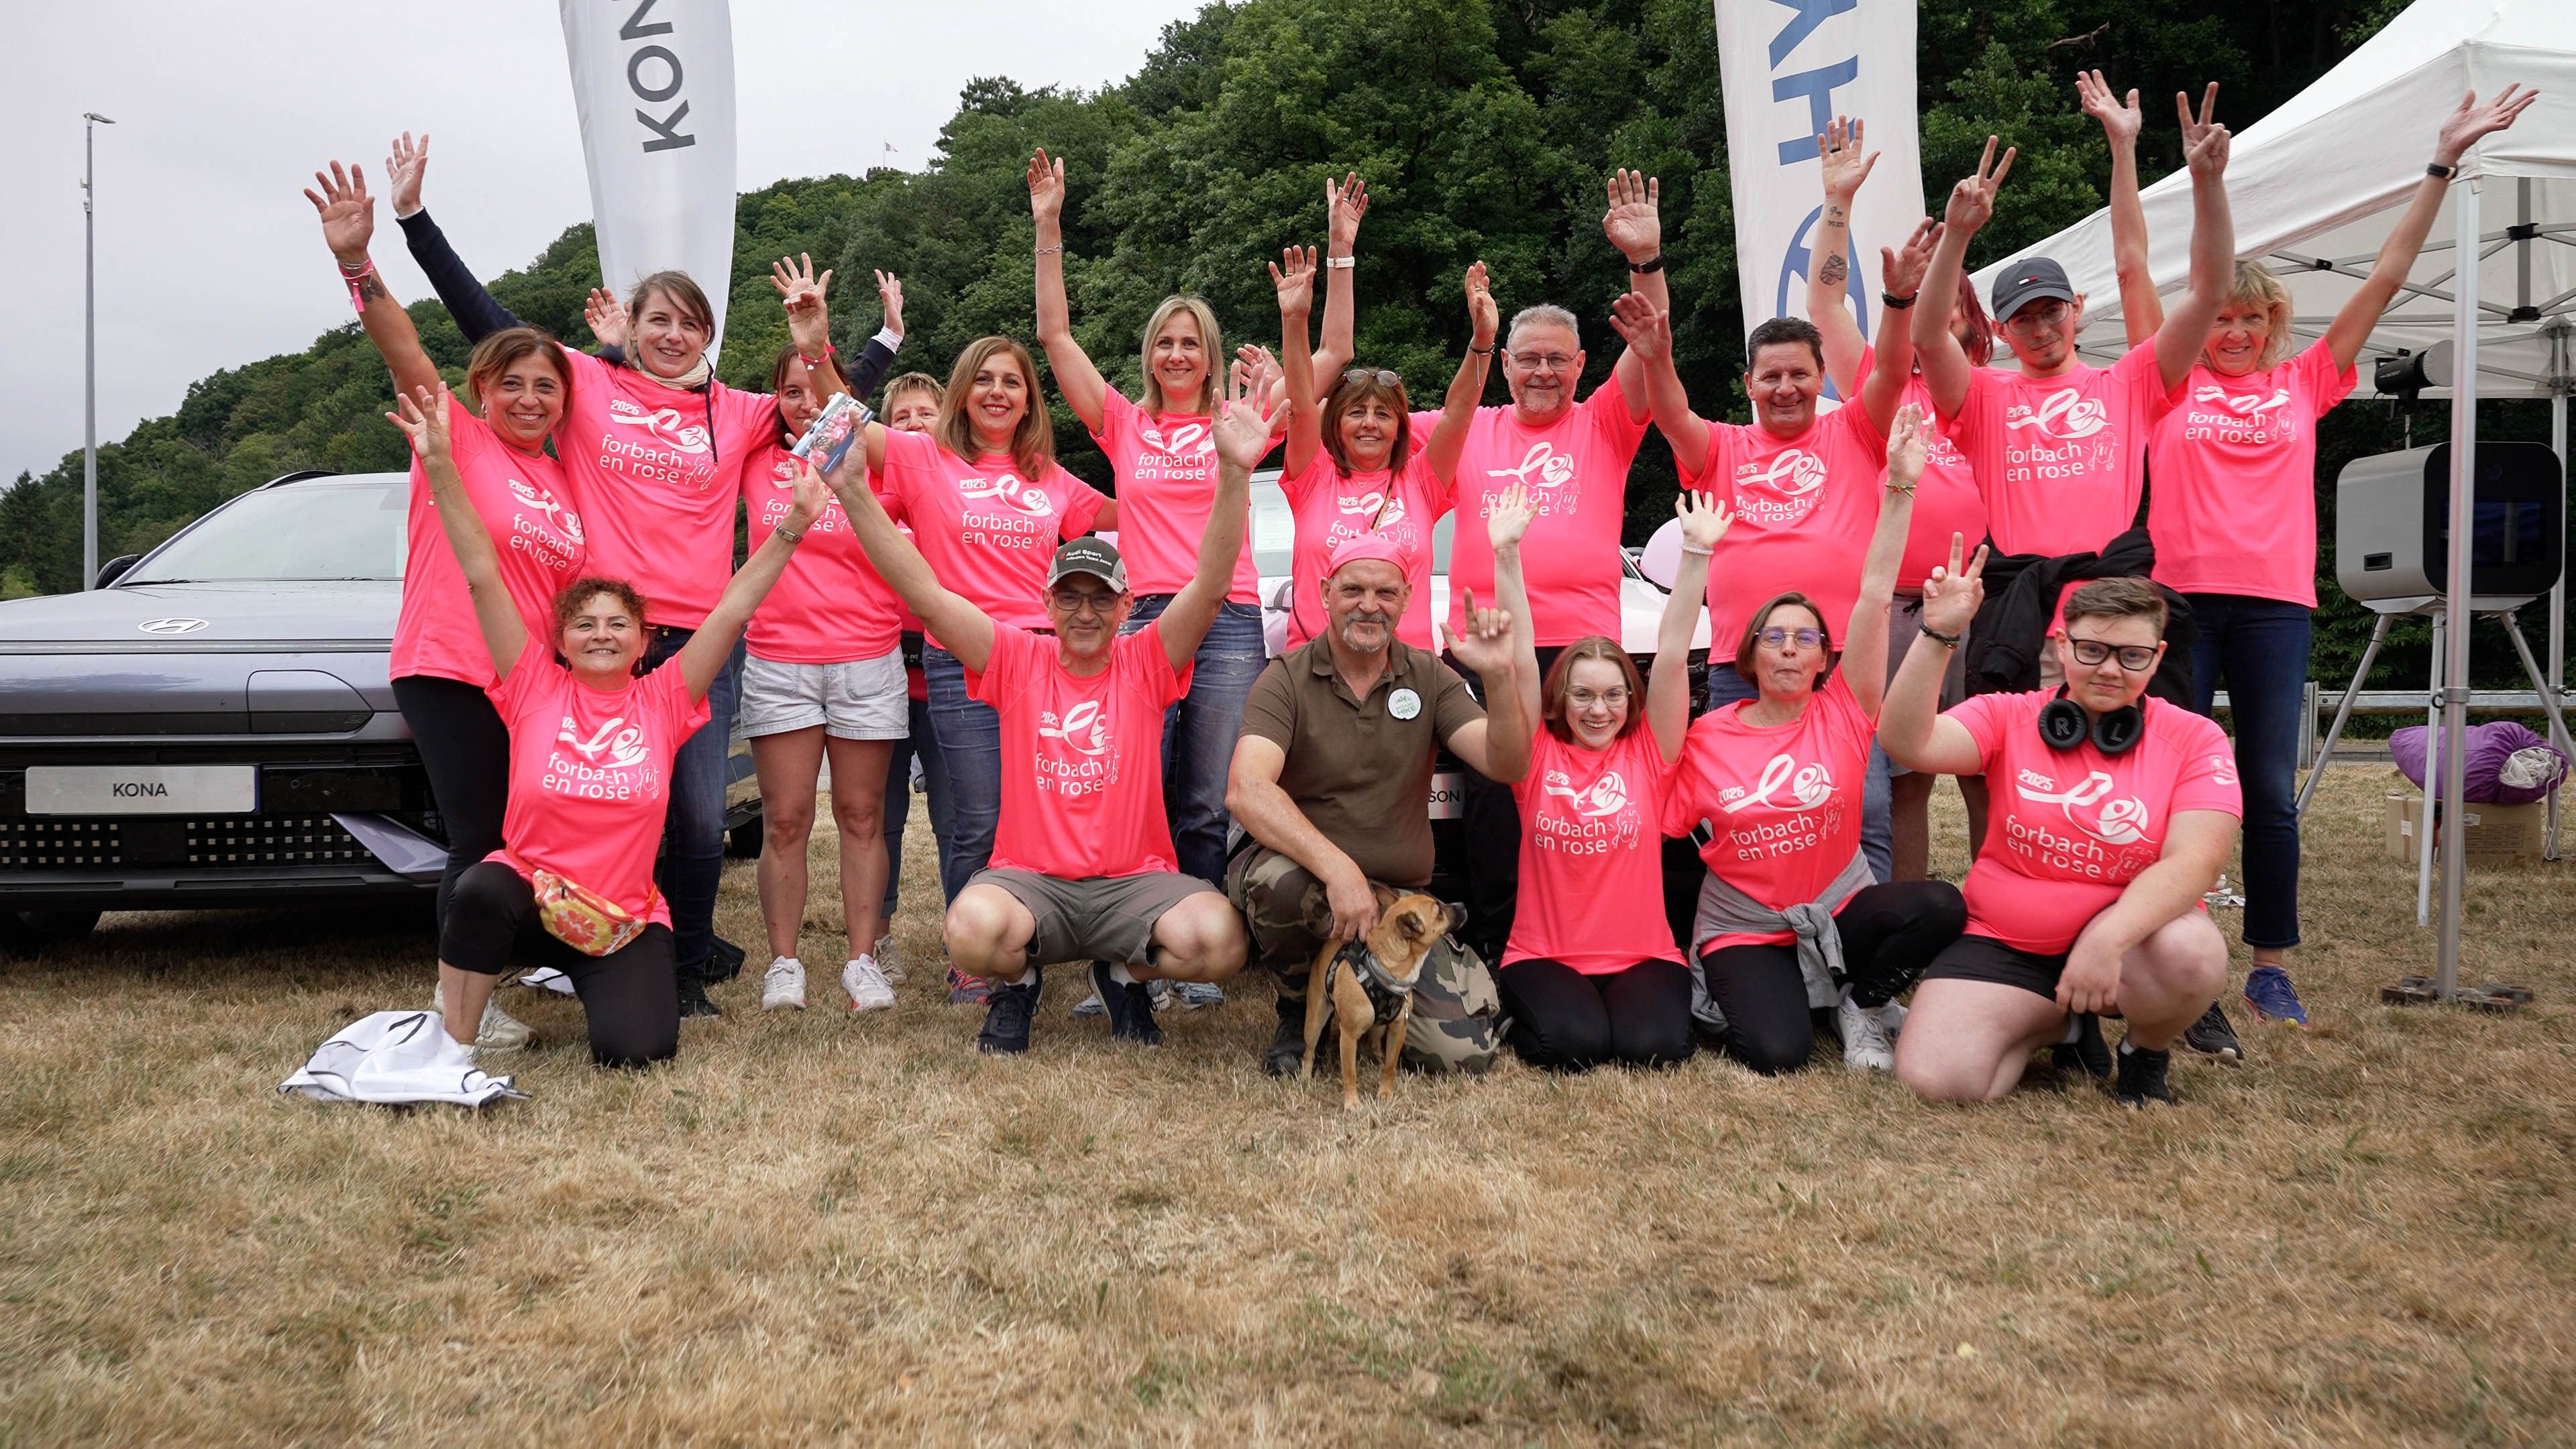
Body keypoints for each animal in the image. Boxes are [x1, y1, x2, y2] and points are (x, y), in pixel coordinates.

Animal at [1298, 887, 1461, 1109]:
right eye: (1439, 912)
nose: (1462, 905)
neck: (1386, 968)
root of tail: (1328, 945)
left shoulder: (1398, 1028)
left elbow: (1391, 1065)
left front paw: (1385, 1092)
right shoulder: (1348, 1036)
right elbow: (1350, 1072)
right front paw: (1352, 1102)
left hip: (1380, 1027)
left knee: (1376, 1045)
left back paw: (1378, 1059)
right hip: (1315, 1020)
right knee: (1309, 1049)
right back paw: (1306, 1077)